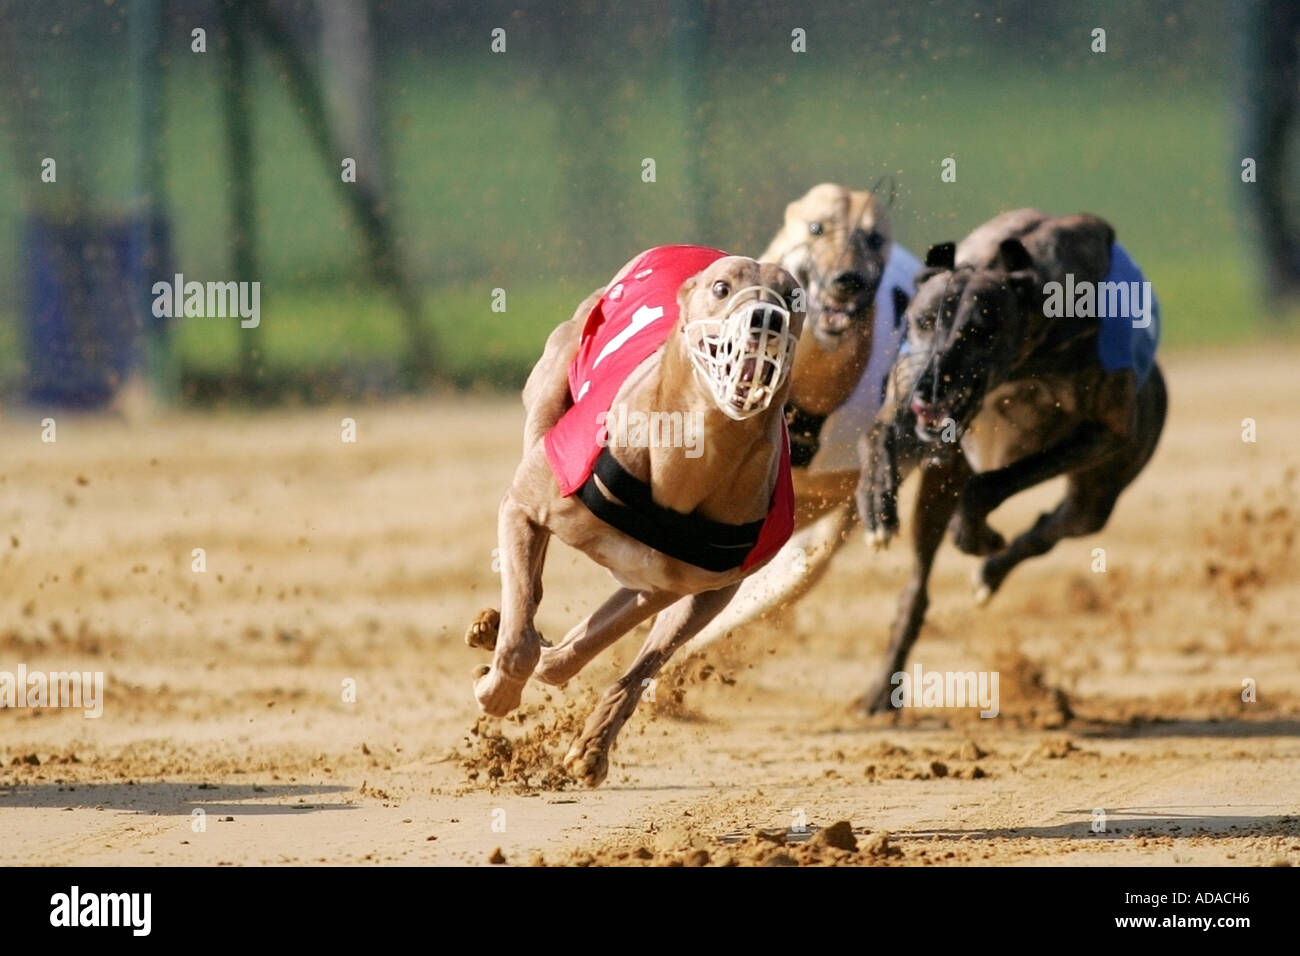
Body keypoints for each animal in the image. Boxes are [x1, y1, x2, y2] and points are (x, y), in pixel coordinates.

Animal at [462, 244, 795, 785]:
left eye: (793, 296)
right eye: (722, 288)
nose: (768, 317)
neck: (690, 462)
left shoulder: (688, 590)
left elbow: (608, 663)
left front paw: (591, 749)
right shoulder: (523, 506)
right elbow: (521, 645)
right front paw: (495, 689)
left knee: (562, 650)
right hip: (552, 389)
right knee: (530, 585)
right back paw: (499, 626)